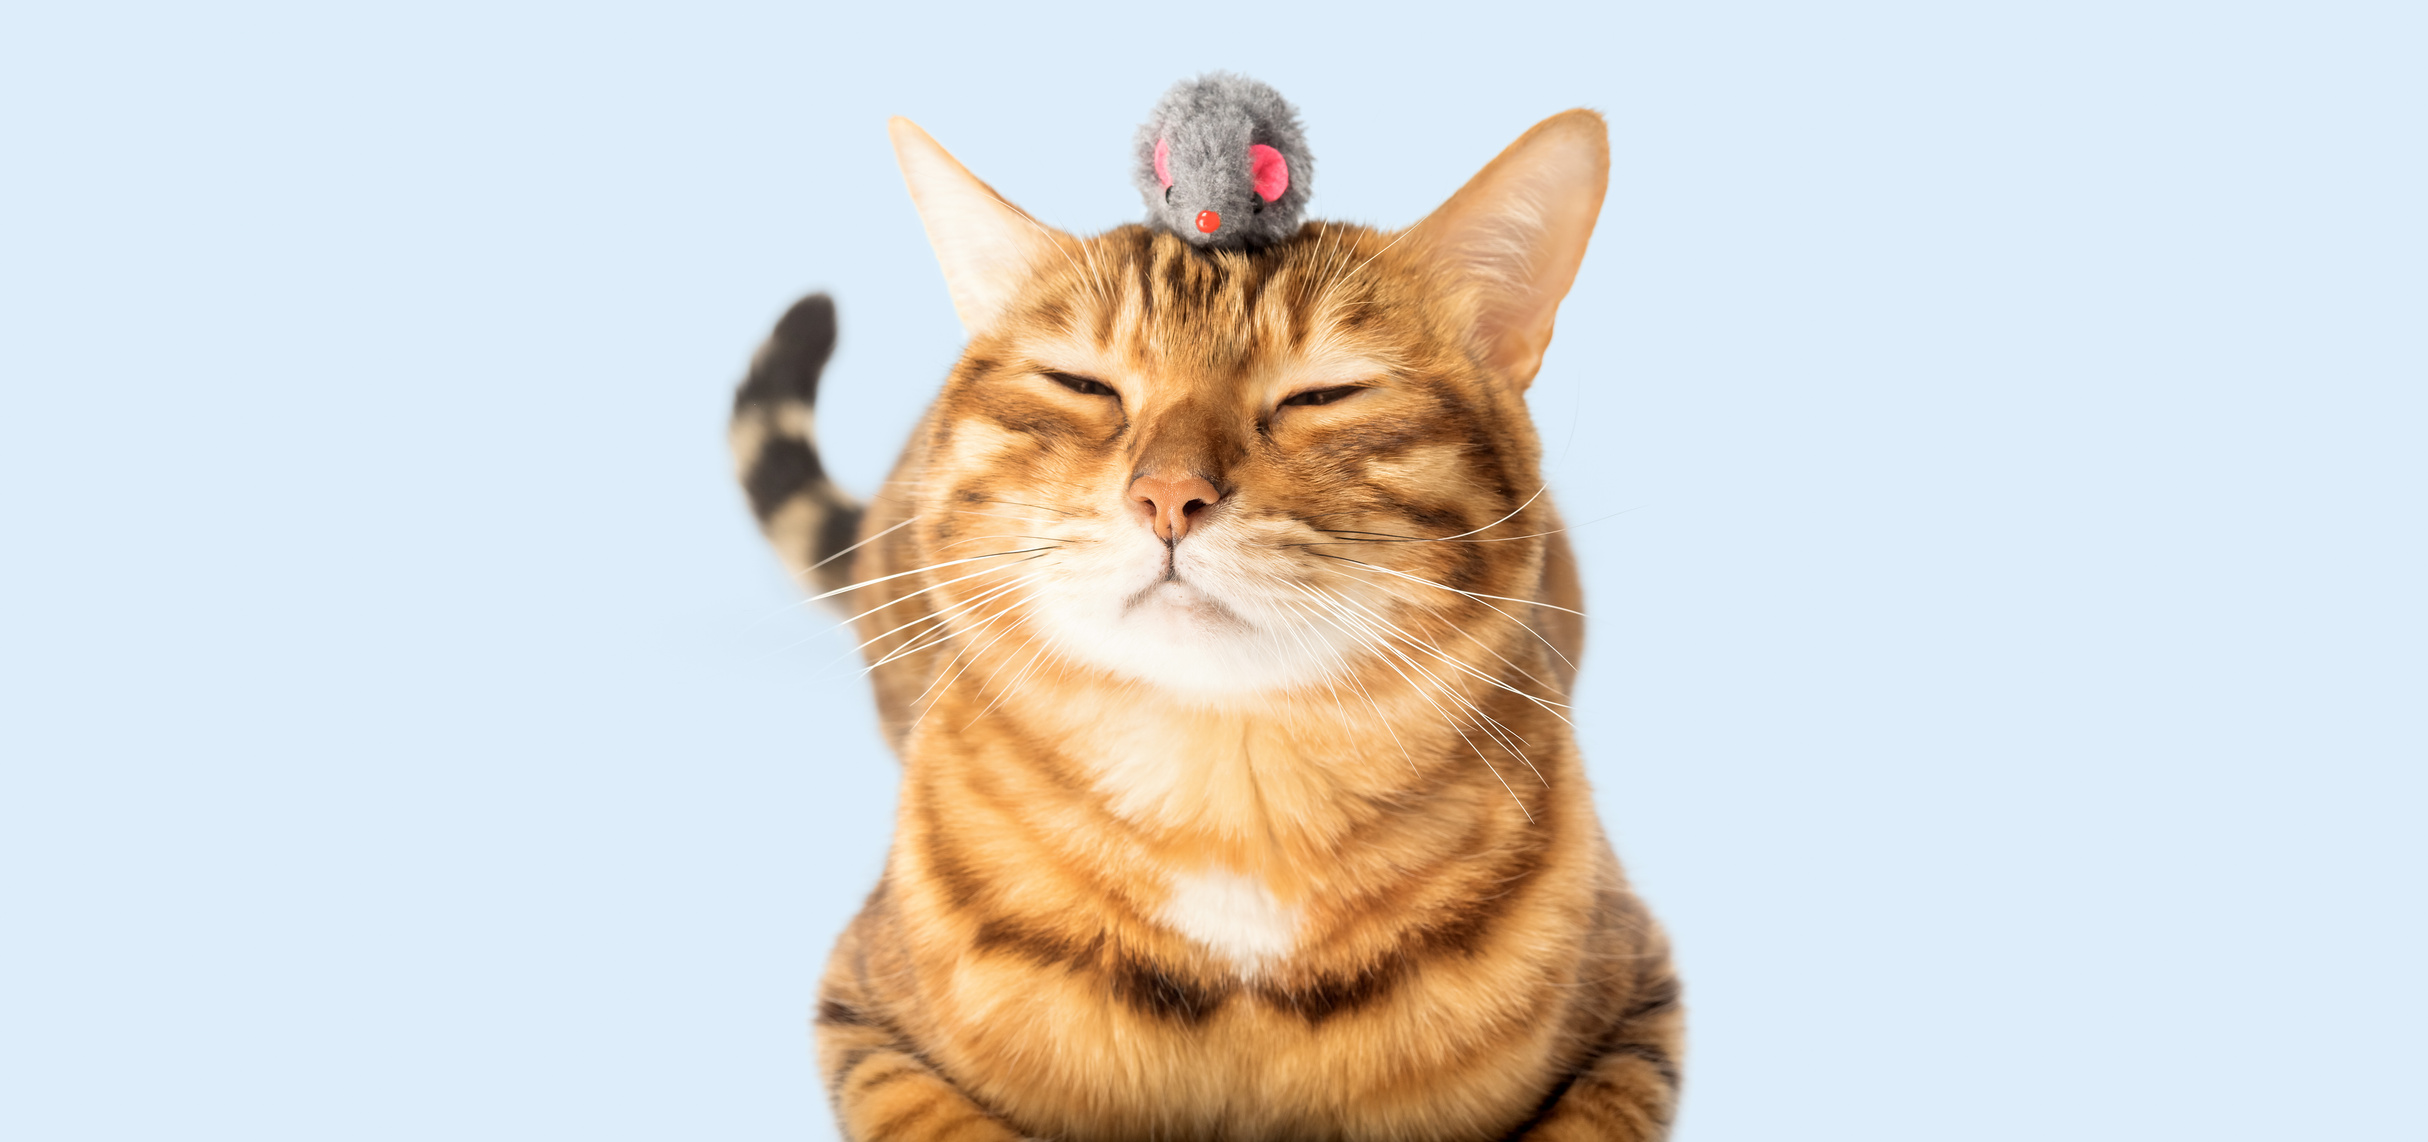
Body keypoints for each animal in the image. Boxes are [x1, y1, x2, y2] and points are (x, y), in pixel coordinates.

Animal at [718, 109, 1680, 1142]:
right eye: (1083, 385)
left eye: (1322, 394)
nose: (1169, 495)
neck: (1228, 793)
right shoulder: (862, 1010)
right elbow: (939, 1118)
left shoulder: (1641, 1002)